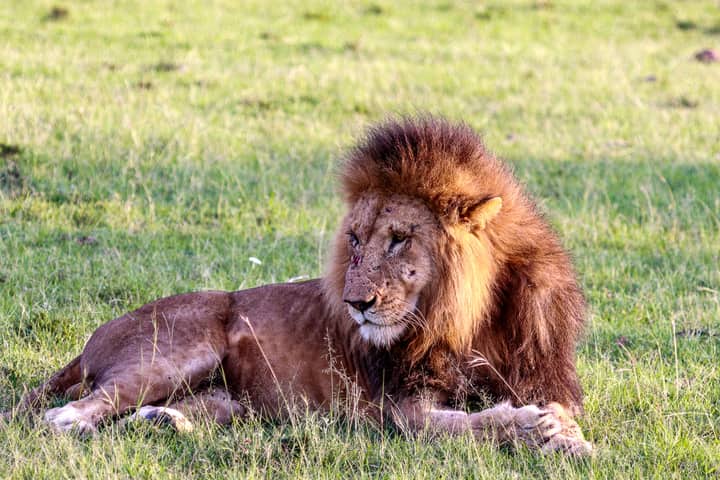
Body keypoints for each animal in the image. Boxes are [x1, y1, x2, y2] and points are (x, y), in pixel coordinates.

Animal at [5, 117, 591, 455]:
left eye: (400, 239)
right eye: (354, 239)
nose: (356, 304)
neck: (466, 319)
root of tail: (91, 340)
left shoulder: (542, 373)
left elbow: (559, 415)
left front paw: (569, 439)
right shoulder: (400, 408)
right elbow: (461, 425)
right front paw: (533, 428)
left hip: (227, 399)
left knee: (158, 414)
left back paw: (165, 422)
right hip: (176, 348)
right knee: (68, 413)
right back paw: (83, 426)